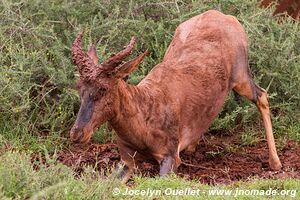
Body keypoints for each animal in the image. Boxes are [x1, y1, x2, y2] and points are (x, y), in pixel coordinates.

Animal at [69, 9, 282, 182]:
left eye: (104, 88)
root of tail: (223, 16)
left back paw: (275, 163)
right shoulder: (127, 161)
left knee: (262, 96)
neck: (147, 105)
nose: (77, 134)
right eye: (79, 86)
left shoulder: (169, 159)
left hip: (241, 78)